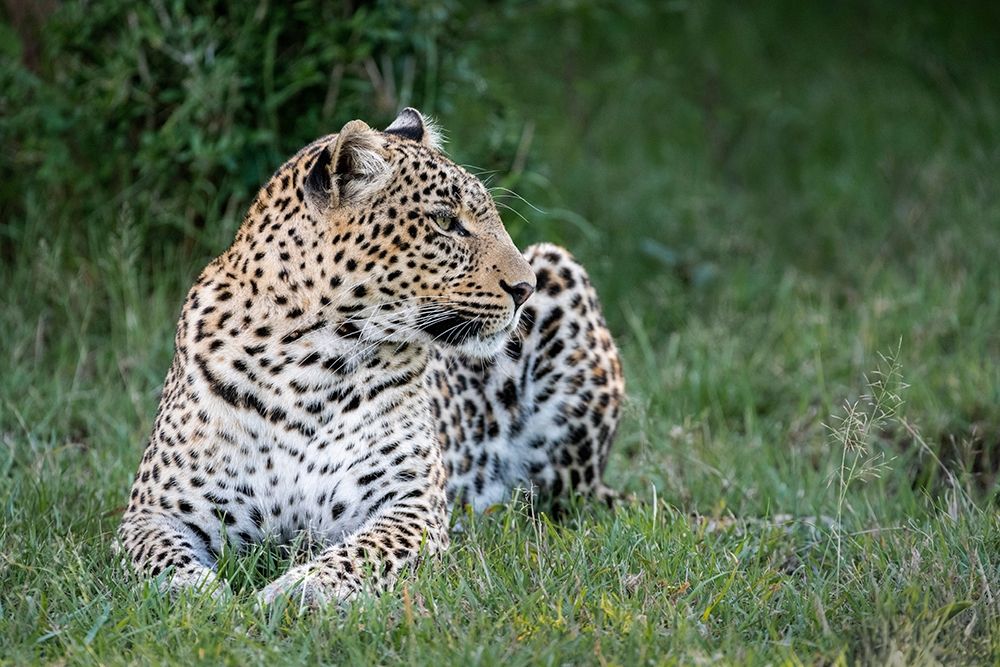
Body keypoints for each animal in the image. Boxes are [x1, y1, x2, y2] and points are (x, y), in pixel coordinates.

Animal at [116, 108, 624, 607]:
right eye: (445, 222)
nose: (525, 288)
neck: (304, 364)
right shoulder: (153, 511)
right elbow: (160, 560)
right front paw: (199, 597)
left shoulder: (411, 504)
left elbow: (363, 552)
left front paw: (299, 592)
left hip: (563, 281)